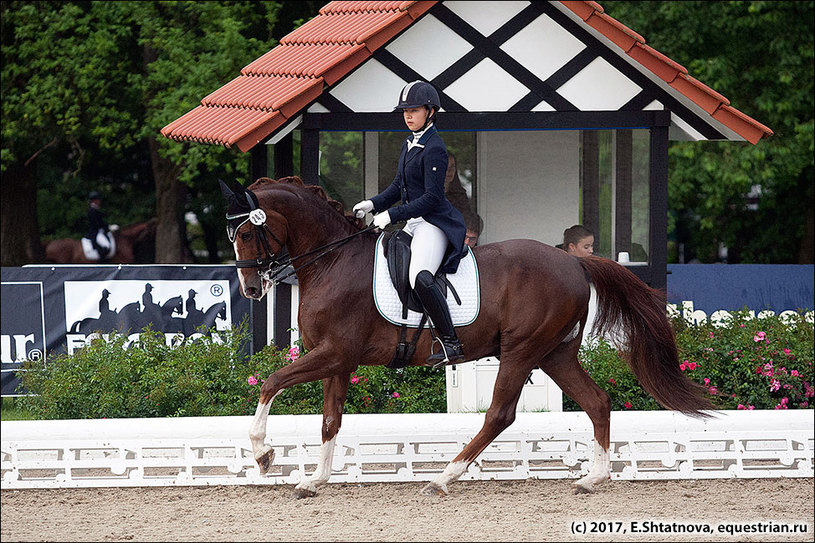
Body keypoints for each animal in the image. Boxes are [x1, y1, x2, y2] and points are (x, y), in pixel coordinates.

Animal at [223, 176, 712, 500]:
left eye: (246, 232)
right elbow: (330, 420)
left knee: (499, 414)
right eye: (232, 234)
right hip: (555, 354)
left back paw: (445, 477)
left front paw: (264, 455)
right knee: (597, 401)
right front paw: (315, 480)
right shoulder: (338, 360)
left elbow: (270, 383)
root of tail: (574, 262)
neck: (332, 261)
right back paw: (593, 478)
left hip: (520, 352)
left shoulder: (333, 353)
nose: (249, 290)